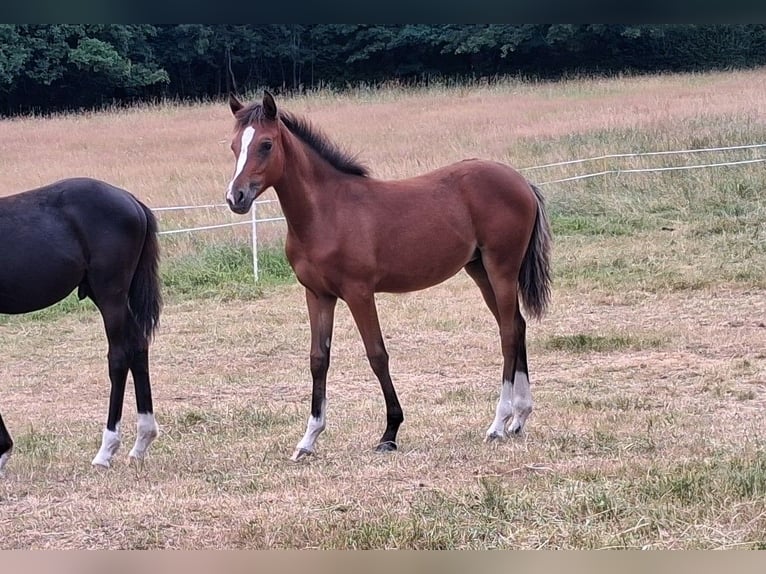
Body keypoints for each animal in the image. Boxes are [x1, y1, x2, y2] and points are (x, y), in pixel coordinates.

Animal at [0, 177, 163, 473]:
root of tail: (130, 200)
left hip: (110, 294)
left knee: (119, 356)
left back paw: (106, 450)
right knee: (138, 346)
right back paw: (141, 442)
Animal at [225, 91, 551, 461]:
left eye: (265, 144)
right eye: (234, 146)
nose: (236, 197)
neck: (325, 212)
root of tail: (521, 181)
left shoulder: (359, 293)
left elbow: (377, 355)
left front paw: (390, 432)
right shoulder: (318, 295)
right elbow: (318, 359)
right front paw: (308, 439)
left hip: (502, 268)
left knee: (508, 332)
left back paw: (498, 423)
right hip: (480, 270)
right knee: (517, 325)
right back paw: (519, 417)